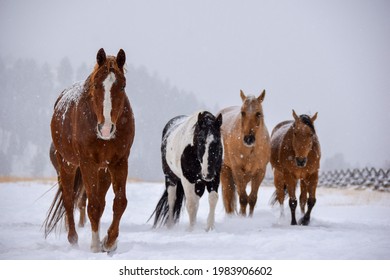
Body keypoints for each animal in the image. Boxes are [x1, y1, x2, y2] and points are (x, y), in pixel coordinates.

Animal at [43, 48, 135, 252]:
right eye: (95, 85)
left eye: (123, 86)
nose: (106, 129)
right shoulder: (87, 164)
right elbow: (92, 205)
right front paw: (95, 245)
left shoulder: (119, 162)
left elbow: (119, 203)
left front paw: (109, 242)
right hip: (67, 165)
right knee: (69, 199)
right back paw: (73, 238)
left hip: (103, 171)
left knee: (100, 201)